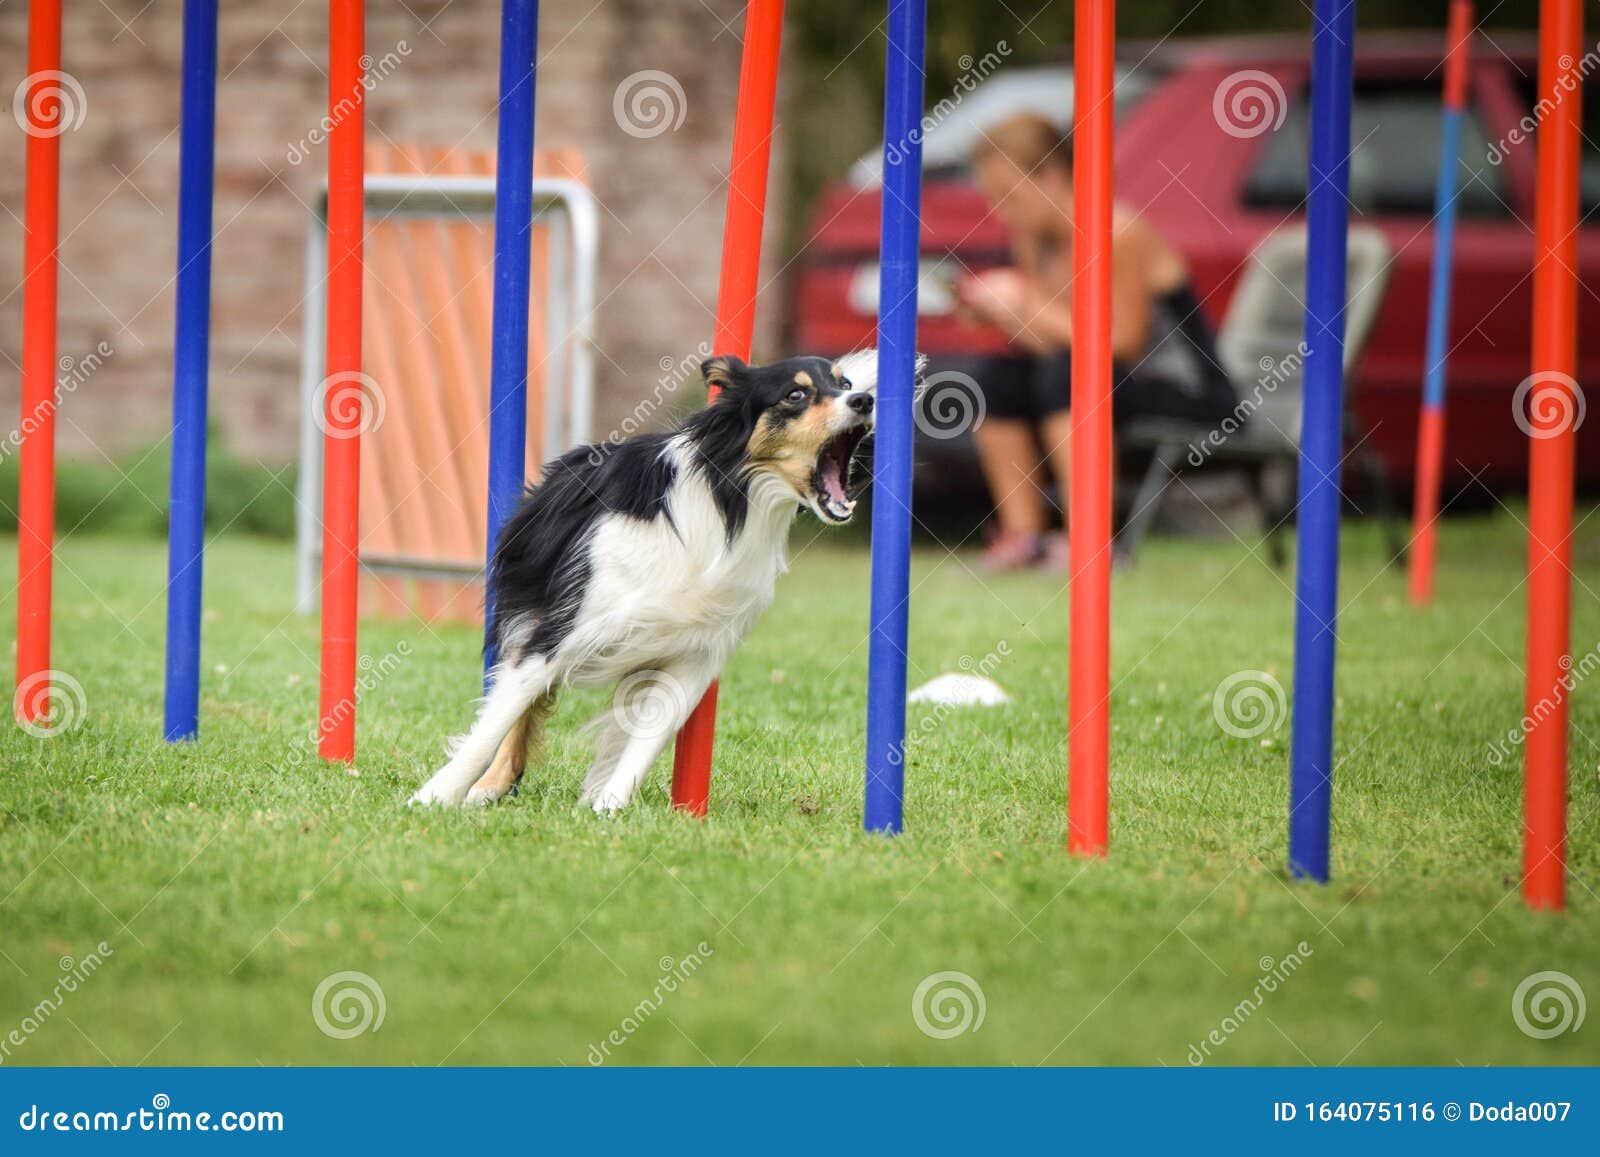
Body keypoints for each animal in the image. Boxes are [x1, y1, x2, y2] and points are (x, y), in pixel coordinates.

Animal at [409, 348, 902, 809]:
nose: (864, 400)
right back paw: (489, 786)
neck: (731, 504)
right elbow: (494, 723)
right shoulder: (562, 629)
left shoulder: (697, 655)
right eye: (795, 395)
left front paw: (607, 810)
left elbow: (646, 743)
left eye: (844, 383)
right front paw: (434, 796)